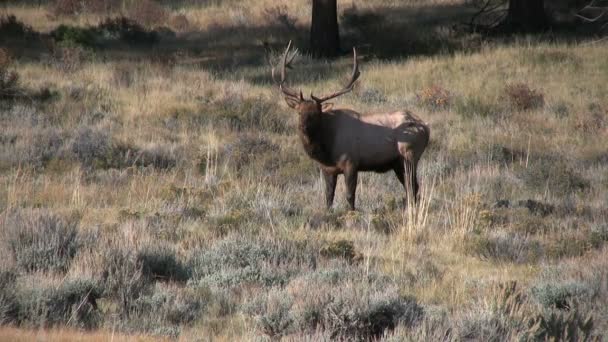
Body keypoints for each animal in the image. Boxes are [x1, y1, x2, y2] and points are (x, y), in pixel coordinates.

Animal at [268, 41, 430, 210]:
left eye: (316, 113)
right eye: (299, 112)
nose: (303, 127)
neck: (327, 150)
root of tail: (426, 128)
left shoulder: (351, 162)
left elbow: (350, 196)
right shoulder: (328, 169)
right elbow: (328, 197)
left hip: (409, 155)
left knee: (413, 186)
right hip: (398, 163)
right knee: (411, 187)